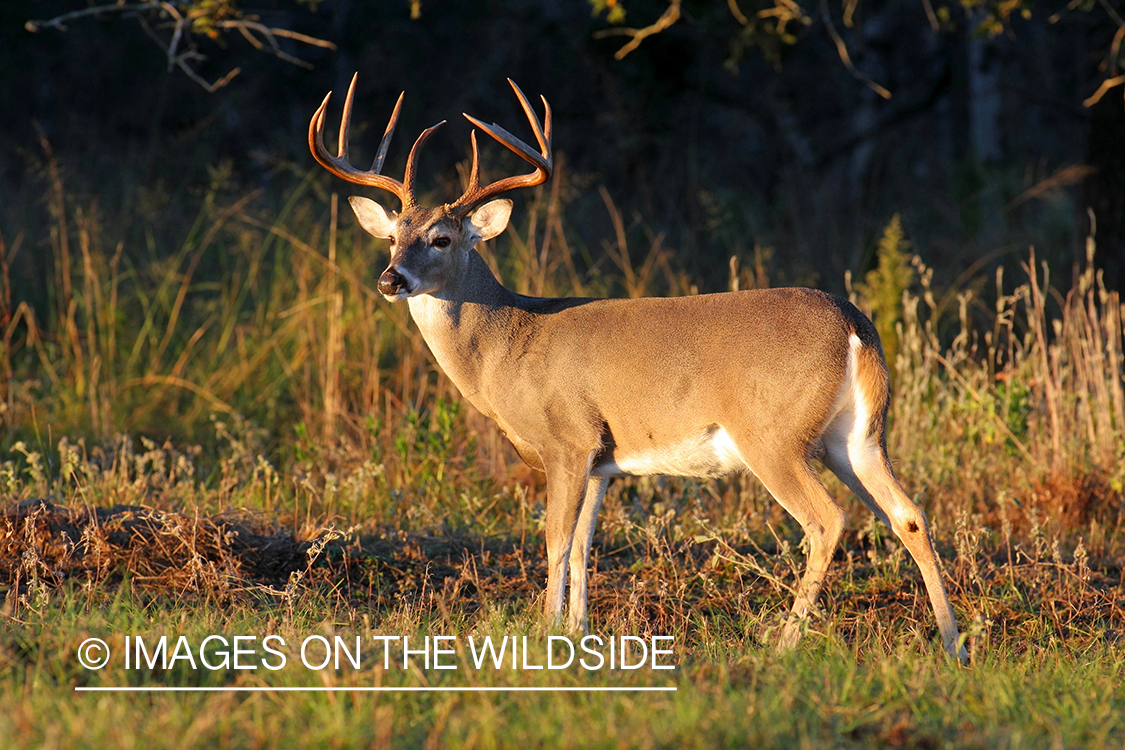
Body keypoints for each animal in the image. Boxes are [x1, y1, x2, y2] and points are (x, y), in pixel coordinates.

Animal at [312, 74, 972, 661]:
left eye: (443, 239)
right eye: (393, 236)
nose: (391, 279)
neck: (507, 344)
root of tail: (854, 324)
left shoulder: (568, 439)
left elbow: (555, 541)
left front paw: (543, 634)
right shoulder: (604, 459)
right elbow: (584, 545)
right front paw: (577, 634)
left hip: (773, 434)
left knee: (827, 521)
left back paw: (782, 646)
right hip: (854, 435)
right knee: (909, 515)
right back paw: (954, 647)